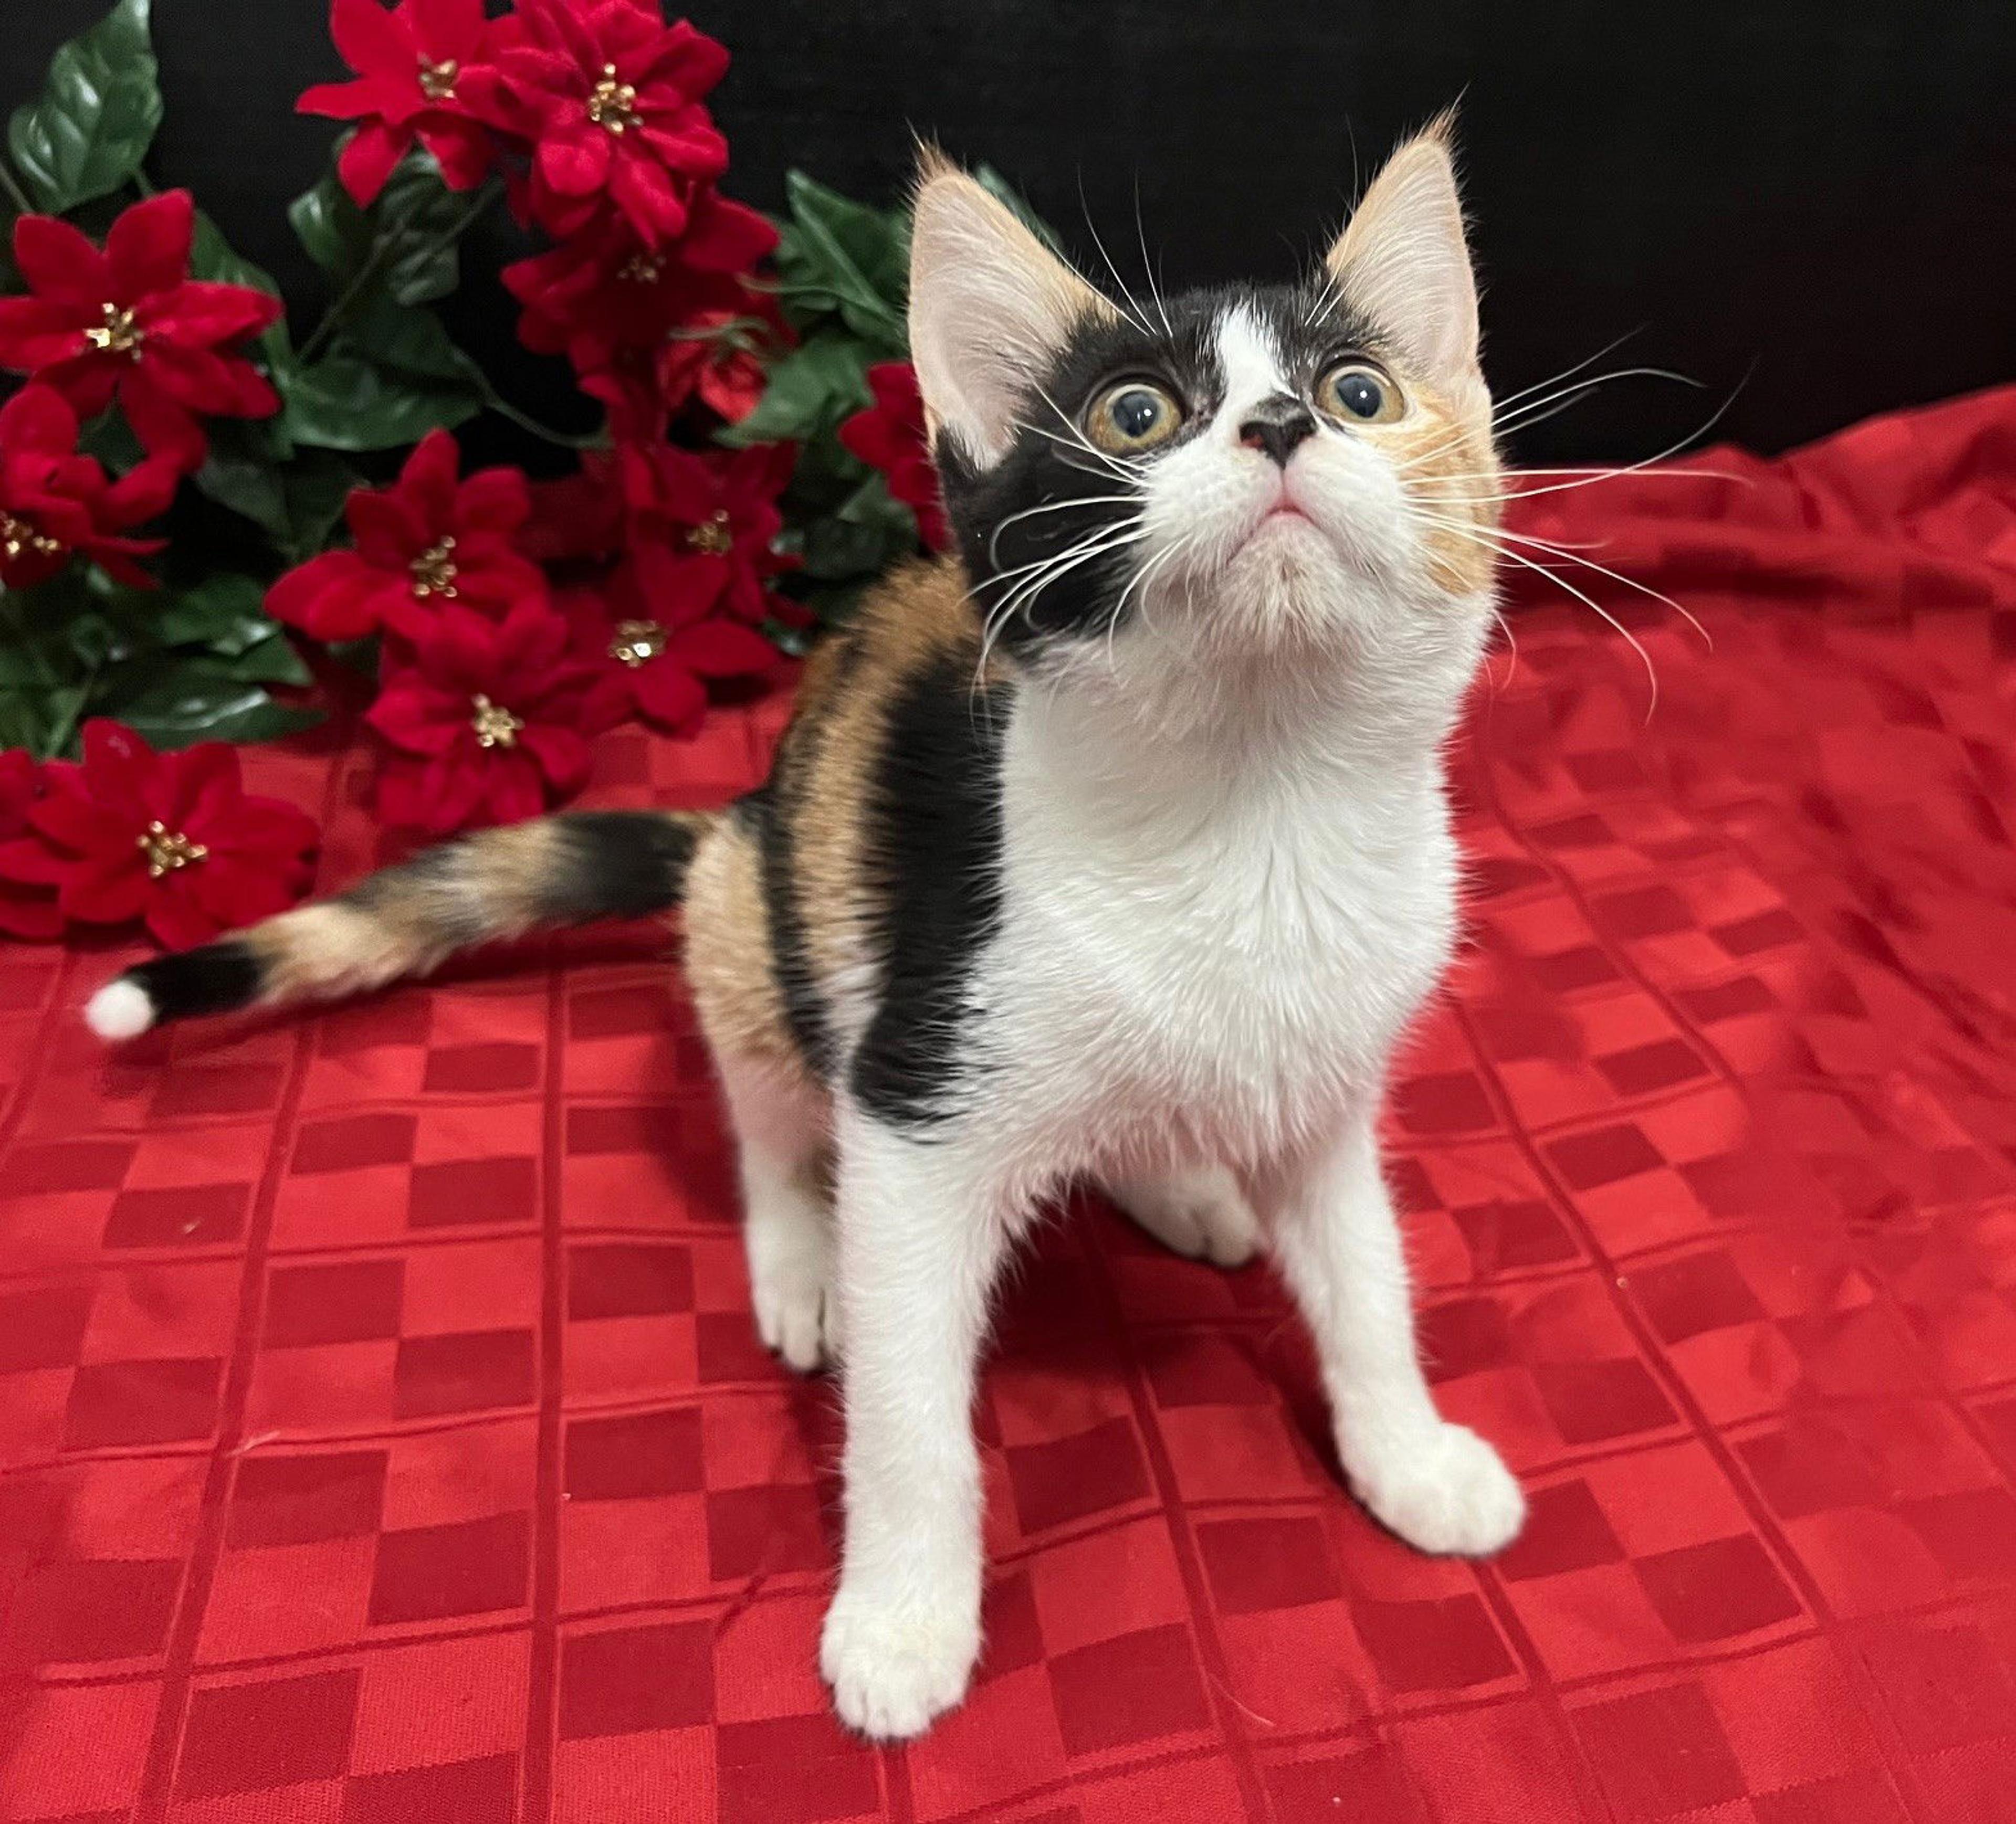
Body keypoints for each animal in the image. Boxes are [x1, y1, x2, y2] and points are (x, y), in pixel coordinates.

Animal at [86, 117, 1523, 1740]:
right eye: (1137, 413)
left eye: (1361, 394)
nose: (1280, 427)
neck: (1252, 808)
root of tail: (742, 813)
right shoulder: (913, 1084)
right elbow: (906, 1402)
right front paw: (903, 1617)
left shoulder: (1331, 1088)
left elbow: (1367, 1279)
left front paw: (1408, 1455)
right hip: (748, 913)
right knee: (772, 1117)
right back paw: (803, 1261)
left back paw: (1184, 1182)